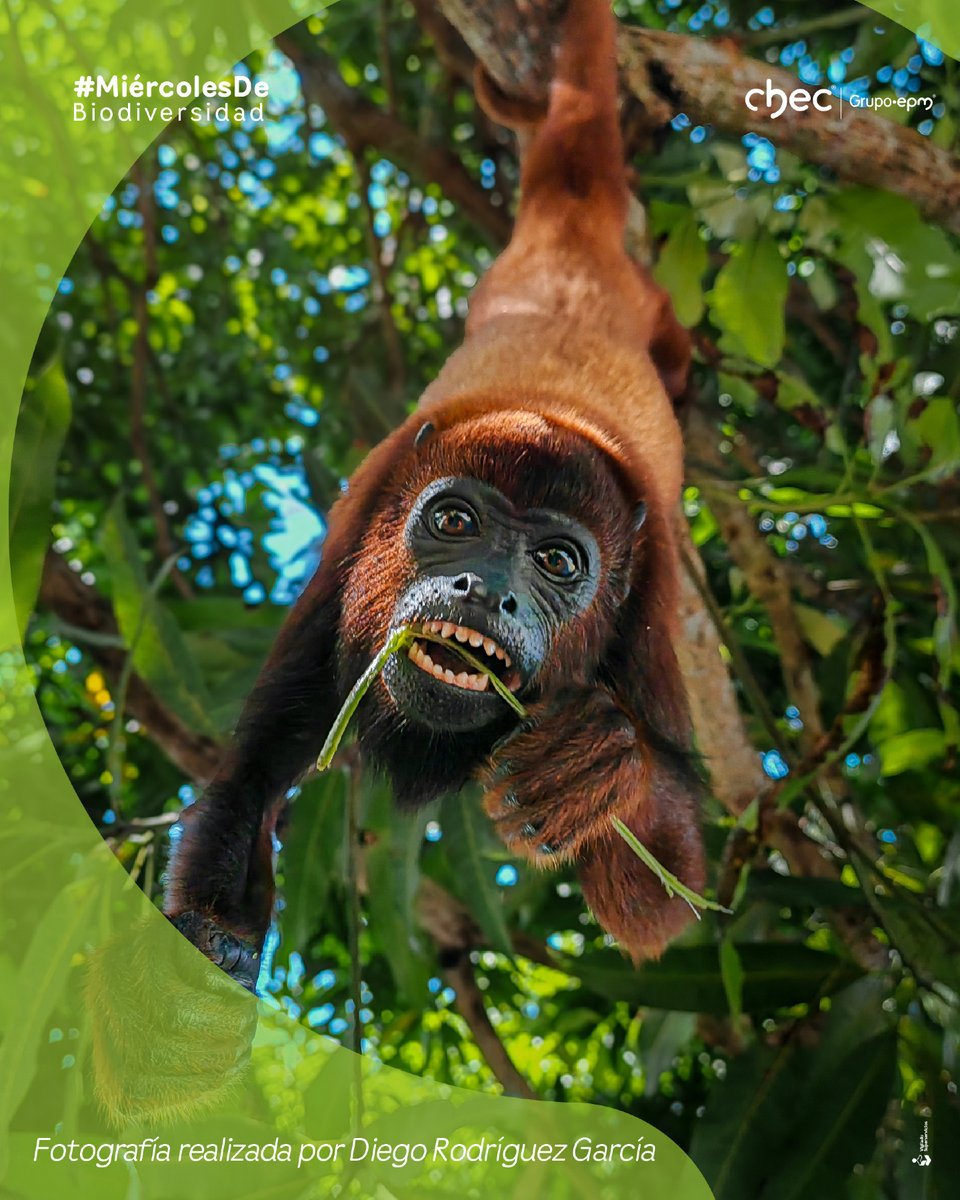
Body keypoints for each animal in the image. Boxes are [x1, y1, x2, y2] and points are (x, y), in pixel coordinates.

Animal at [163, 0, 705, 989]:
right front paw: (205, 954)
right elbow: (248, 782)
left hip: (655, 307)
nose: (481, 590)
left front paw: (601, 764)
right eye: (453, 520)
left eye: (558, 562)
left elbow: (670, 893)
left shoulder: (649, 606)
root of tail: (572, 241)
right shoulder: (350, 549)